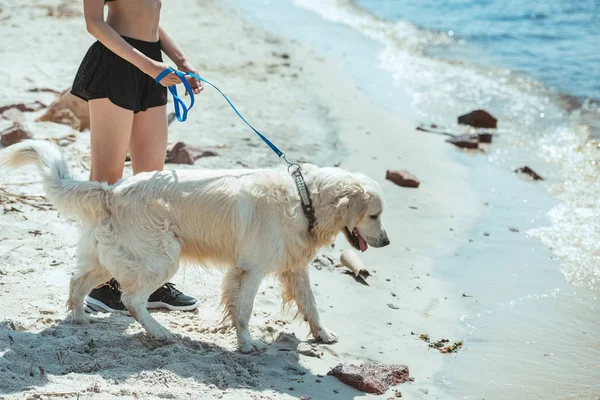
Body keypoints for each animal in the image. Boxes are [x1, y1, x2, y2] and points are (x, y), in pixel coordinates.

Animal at [0, 141, 390, 354]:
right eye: (374, 215)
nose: (387, 242)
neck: (304, 196)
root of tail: (111, 190)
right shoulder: (251, 269)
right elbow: (244, 310)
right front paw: (247, 344)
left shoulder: (294, 267)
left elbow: (311, 305)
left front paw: (323, 335)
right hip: (161, 257)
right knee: (131, 299)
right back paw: (159, 332)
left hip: (109, 256)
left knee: (77, 281)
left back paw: (80, 318)